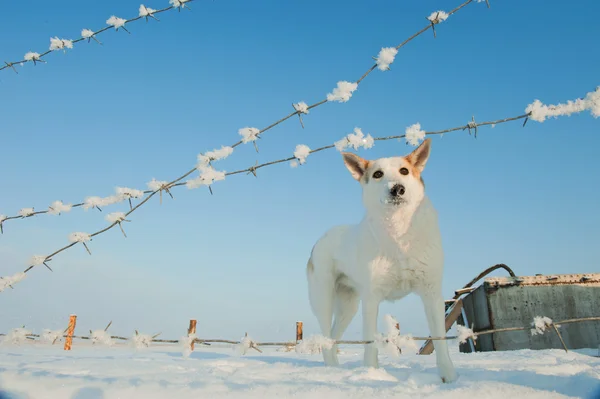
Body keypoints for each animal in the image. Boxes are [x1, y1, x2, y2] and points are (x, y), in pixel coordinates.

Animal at [308, 139, 458, 382]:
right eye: (378, 174)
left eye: (404, 171)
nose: (397, 188)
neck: (398, 233)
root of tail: (321, 238)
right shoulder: (371, 298)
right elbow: (370, 343)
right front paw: (371, 374)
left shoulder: (432, 294)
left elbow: (440, 339)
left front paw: (449, 377)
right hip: (324, 300)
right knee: (326, 339)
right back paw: (331, 371)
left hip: (348, 306)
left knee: (334, 337)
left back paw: (336, 369)